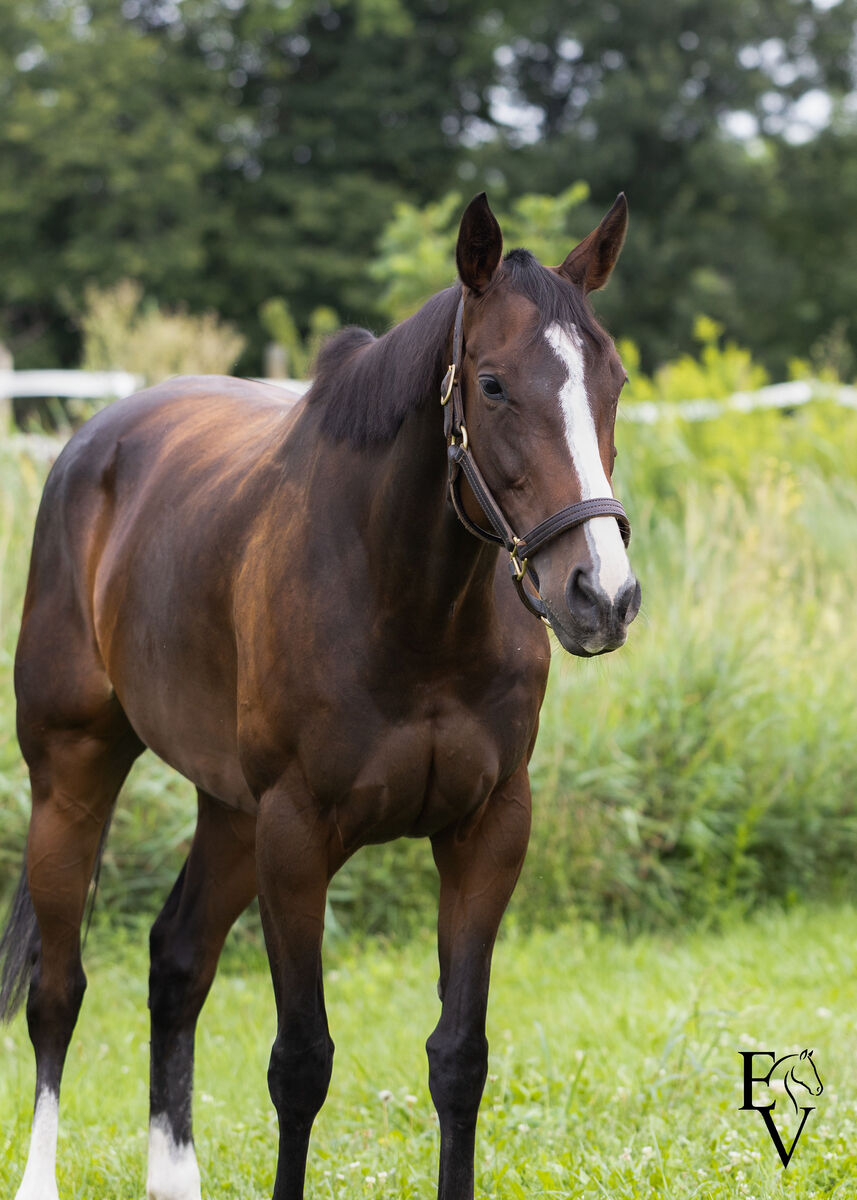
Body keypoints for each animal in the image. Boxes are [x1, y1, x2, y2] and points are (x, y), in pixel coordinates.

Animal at [0, 191, 639, 1200]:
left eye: (610, 379)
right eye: (493, 385)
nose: (601, 596)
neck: (407, 605)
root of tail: (92, 446)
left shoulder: (489, 829)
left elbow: (459, 1057)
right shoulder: (296, 837)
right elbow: (300, 1063)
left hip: (228, 810)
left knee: (176, 961)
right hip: (72, 774)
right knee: (59, 989)